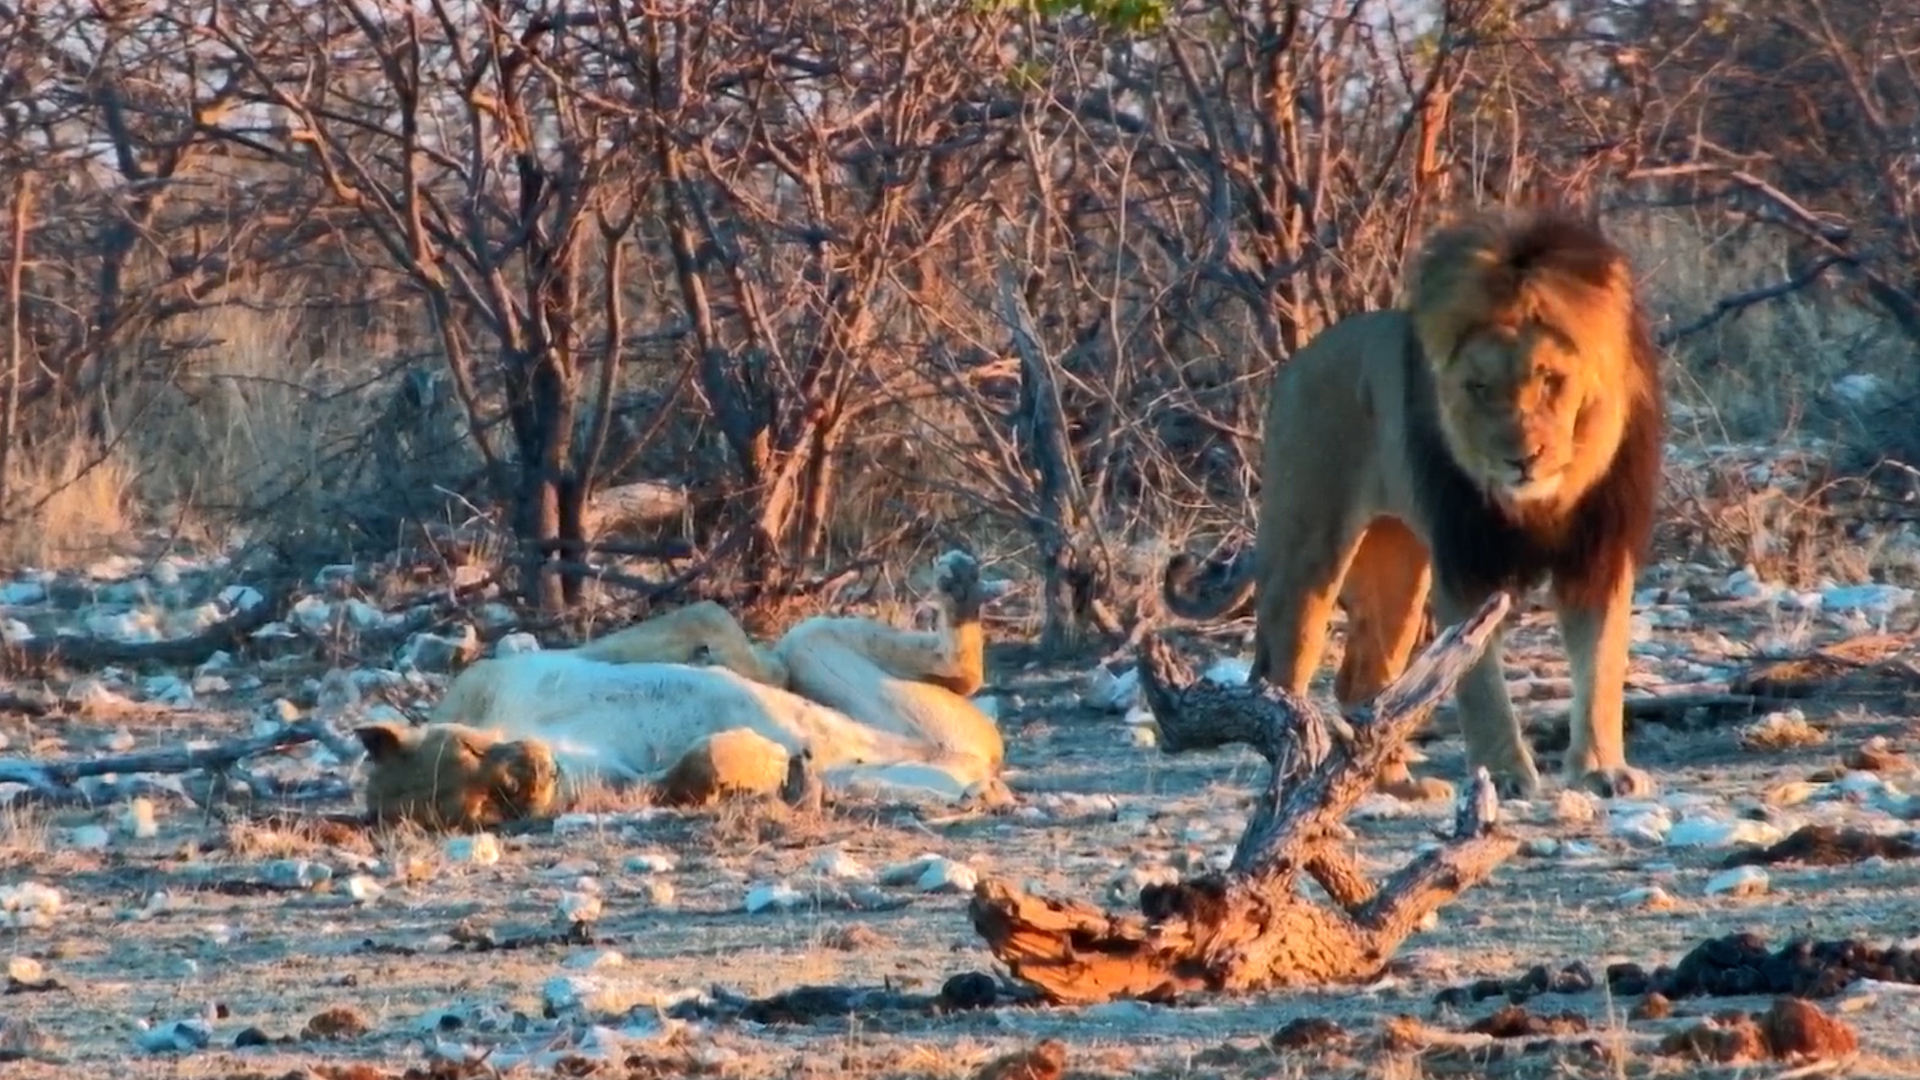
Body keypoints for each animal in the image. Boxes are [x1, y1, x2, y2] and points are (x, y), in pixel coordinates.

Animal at [355, 551, 1005, 830]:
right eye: (489, 805)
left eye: (469, 749)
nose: (530, 772)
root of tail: (976, 753)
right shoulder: (627, 790)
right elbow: (694, 770)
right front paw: (770, 763)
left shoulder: (518, 668)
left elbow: (709, 618)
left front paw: (752, 673)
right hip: (879, 778)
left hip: (814, 638)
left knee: (961, 671)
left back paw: (960, 584)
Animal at [1160, 207, 1664, 801]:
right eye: (1477, 387)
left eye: (1550, 379)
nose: (1522, 459)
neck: (1542, 501)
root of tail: (1300, 359)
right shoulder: (1466, 563)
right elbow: (1479, 682)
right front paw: (1505, 774)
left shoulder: (1599, 555)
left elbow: (1601, 667)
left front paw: (1601, 770)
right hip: (1305, 552)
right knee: (1276, 681)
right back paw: (1297, 767)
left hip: (1397, 566)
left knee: (1363, 683)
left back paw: (1396, 782)